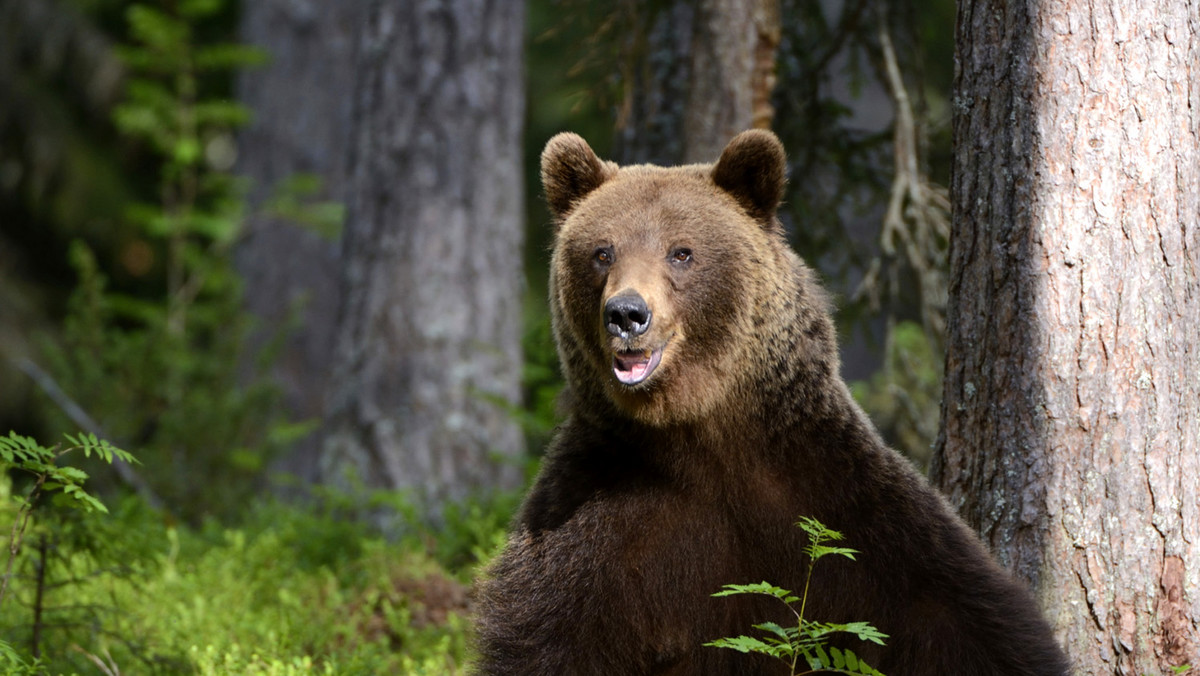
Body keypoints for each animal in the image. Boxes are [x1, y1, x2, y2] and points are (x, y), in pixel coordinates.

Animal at [472, 130, 1075, 676]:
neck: (699, 432)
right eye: (602, 252)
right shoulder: (598, 520)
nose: (626, 313)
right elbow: (547, 638)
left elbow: (965, 619)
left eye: (681, 251)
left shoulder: (842, 506)